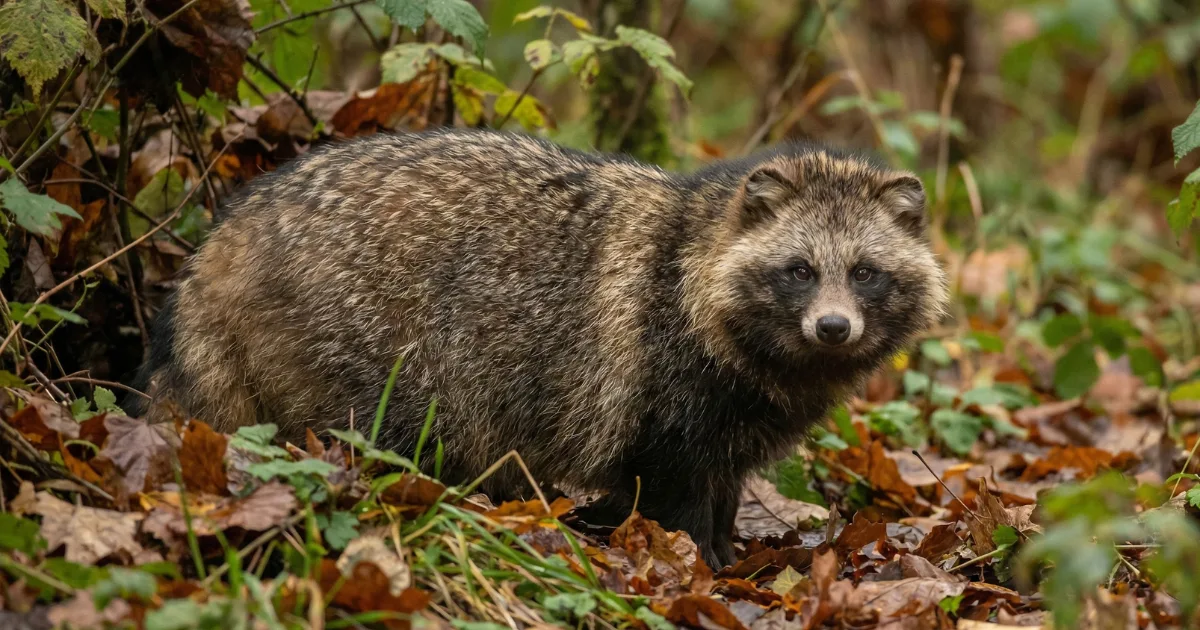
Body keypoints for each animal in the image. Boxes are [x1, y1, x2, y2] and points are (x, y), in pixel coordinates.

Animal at [130, 128, 948, 568]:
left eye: (865, 273)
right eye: (800, 271)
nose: (833, 328)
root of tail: (229, 233)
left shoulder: (735, 415)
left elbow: (723, 484)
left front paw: (725, 549)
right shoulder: (664, 381)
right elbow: (676, 491)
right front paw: (704, 565)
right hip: (367, 343)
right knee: (387, 431)